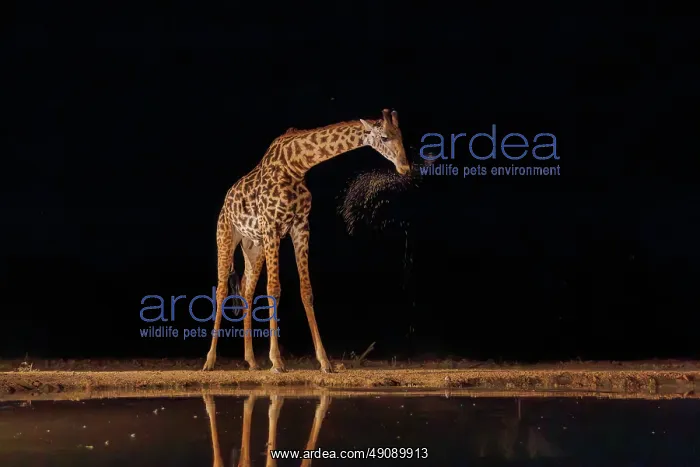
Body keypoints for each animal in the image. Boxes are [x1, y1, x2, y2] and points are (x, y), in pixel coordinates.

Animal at [203, 109, 410, 372]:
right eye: (384, 137)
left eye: (402, 137)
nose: (405, 168)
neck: (297, 164)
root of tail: (227, 200)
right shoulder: (272, 226)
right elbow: (274, 289)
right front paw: (277, 361)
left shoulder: (300, 227)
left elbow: (306, 290)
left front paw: (324, 361)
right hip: (226, 236)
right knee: (221, 290)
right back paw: (209, 361)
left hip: (254, 247)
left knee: (247, 291)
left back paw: (251, 361)